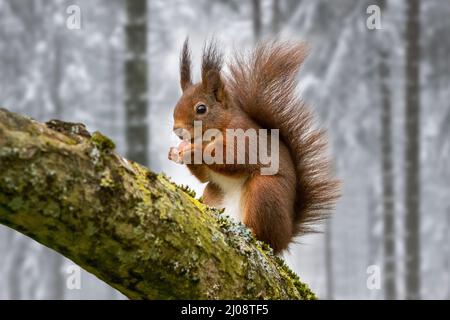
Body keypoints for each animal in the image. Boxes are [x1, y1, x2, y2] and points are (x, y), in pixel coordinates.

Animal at [168, 39, 338, 252]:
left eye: (201, 109)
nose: (178, 131)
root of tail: (285, 237)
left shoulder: (244, 138)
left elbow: (232, 159)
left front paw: (195, 150)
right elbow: (204, 176)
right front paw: (175, 153)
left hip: (264, 190)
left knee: (264, 235)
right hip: (214, 193)